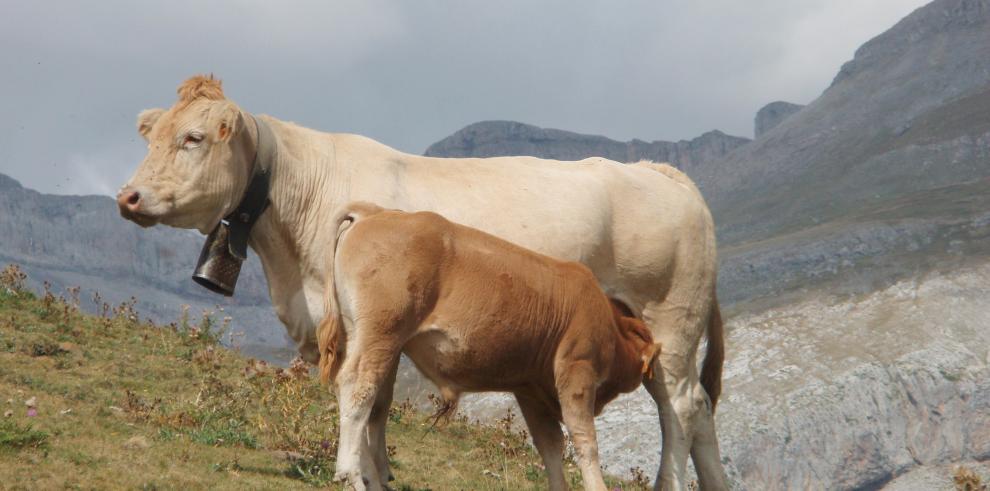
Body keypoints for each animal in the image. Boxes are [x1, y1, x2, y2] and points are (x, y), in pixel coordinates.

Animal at [320, 204, 660, 491]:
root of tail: (373, 211)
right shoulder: (577, 369)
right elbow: (585, 441)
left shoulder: (529, 389)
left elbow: (550, 446)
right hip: (381, 333)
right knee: (358, 390)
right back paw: (351, 475)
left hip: (372, 339)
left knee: (370, 399)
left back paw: (371, 476)